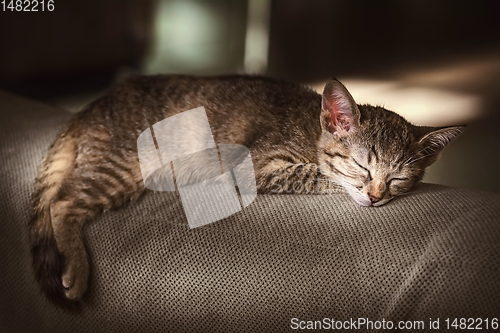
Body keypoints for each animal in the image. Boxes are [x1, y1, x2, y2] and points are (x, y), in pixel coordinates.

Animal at [29, 74, 462, 302]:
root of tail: (91, 106)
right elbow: (317, 173)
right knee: (62, 202)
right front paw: (340, 182)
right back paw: (77, 269)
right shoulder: (253, 165)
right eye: (361, 165)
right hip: (125, 165)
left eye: (399, 178)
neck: (310, 129)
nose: (375, 196)